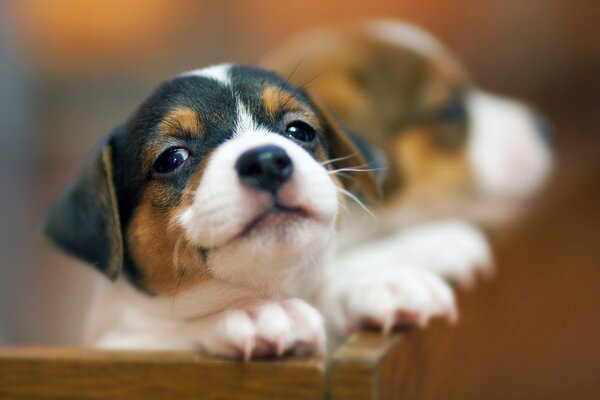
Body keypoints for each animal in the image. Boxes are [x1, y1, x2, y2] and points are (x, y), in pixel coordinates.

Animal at [45, 65, 380, 360]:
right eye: (172, 158)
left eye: (300, 131)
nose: (266, 161)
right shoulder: (118, 344)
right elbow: (170, 335)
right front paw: (253, 313)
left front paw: (363, 287)